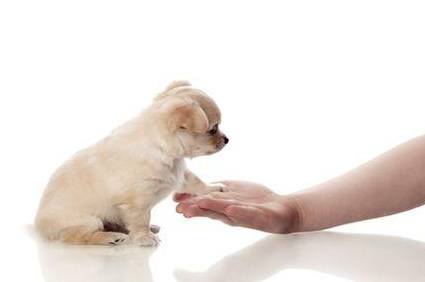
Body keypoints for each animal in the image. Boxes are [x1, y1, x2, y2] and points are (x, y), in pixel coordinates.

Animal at [35, 80, 229, 246]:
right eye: (213, 130)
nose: (227, 140)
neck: (165, 150)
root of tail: (37, 227)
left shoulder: (180, 173)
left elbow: (196, 182)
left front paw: (212, 188)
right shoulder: (137, 201)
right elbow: (141, 219)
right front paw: (144, 237)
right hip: (89, 221)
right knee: (78, 237)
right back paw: (110, 237)